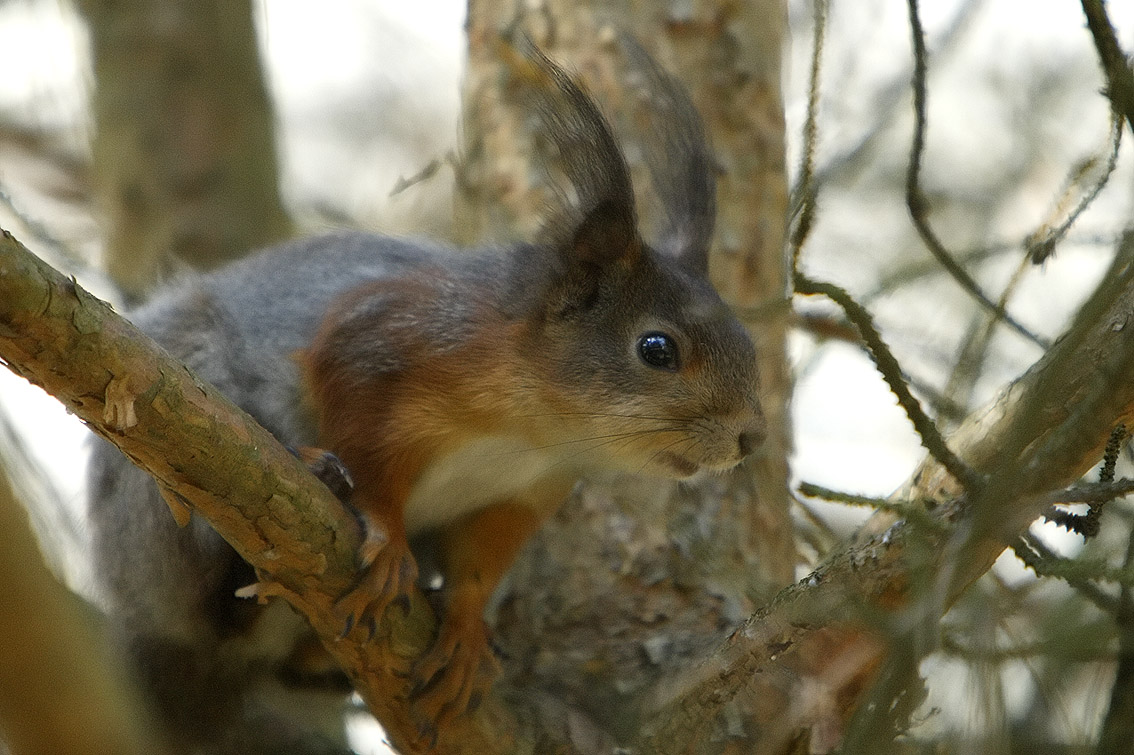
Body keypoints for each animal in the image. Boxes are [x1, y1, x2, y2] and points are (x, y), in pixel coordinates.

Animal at [86, 44, 762, 748]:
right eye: (657, 349)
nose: (752, 436)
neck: (532, 431)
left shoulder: (519, 494)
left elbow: (478, 566)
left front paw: (465, 630)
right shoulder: (384, 343)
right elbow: (365, 441)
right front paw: (386, 534)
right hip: (165, 486)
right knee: (210, 598)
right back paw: (295, 504)